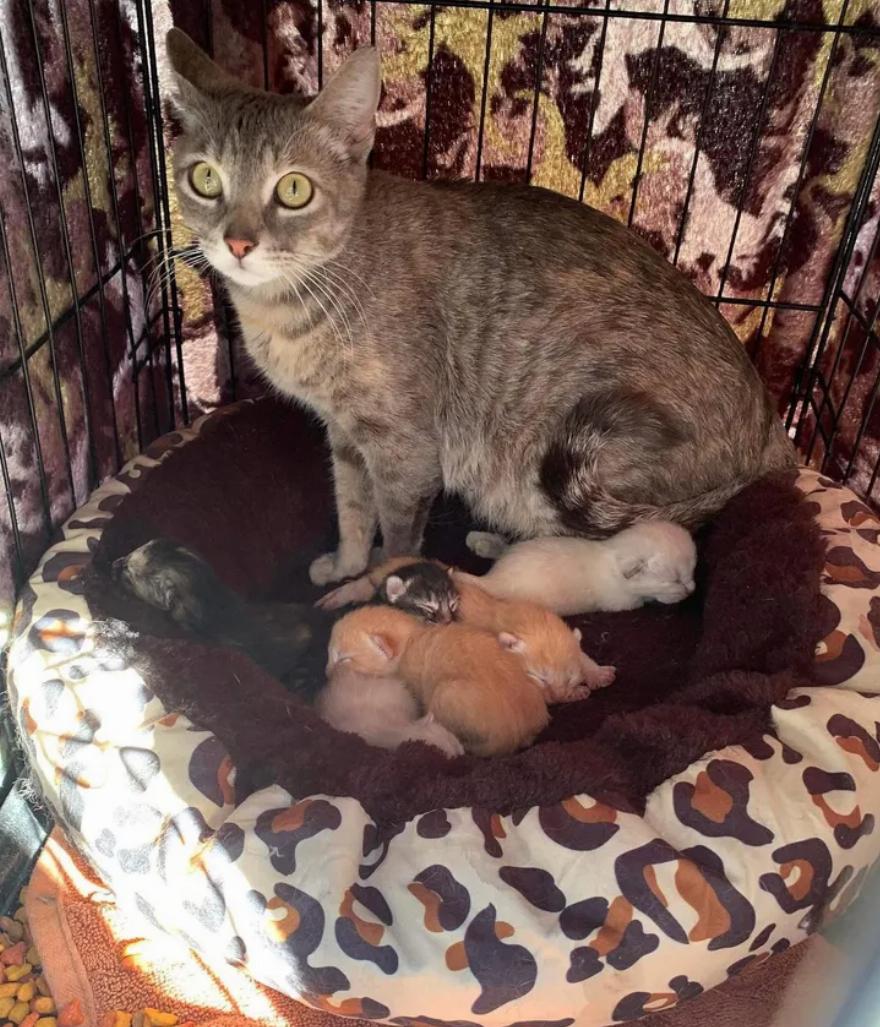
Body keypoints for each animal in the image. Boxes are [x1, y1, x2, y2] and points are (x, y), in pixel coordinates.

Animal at [166, 29, 794, 590]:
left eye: (293, 189)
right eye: (205, 178)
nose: (238, 242)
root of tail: (773, 435)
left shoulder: (404, 450)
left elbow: (396, 536)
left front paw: (374, 584)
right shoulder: (345, 436)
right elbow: (352, 513)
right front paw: (348, 565)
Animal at [327, 606, 550, 757]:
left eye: (343, 658)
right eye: (329, 654)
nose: (327, 673)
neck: (413, 637)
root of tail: (513, 736)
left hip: (445, 692)